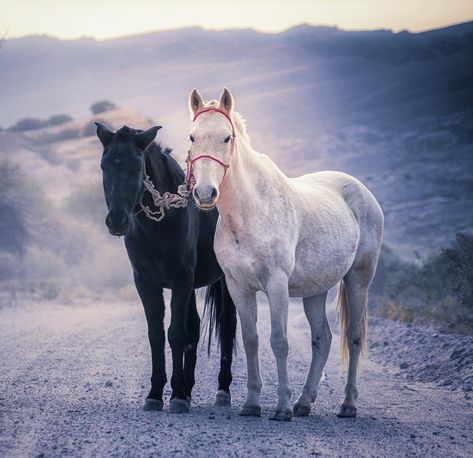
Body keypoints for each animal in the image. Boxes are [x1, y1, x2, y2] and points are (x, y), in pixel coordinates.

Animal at [96, 123, 236, 414]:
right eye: (104, 165)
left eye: (136, 167)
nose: (117, 221)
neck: (159, 225)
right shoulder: (146, 282)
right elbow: (157, 335)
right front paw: (157, 394)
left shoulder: (181, 280)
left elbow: (176, 334)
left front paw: (177, 396)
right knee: (195, 326)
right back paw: (190, 389)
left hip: (227, 282)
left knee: (228, 325)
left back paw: (222, 391)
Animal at [185, 87, 384, 420]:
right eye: (192, 137)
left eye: (227, 137)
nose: (204, 193)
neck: (250, 212)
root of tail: (363, 192)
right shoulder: (238, 287)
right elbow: (251, 340)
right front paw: (252, 404)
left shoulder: (276, 285)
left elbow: (279, 342)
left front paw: (281, 408)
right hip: (315, 290)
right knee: (322, 339)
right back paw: (304, 402)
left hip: (359, 278)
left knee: (354, 337)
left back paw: (347, 405)